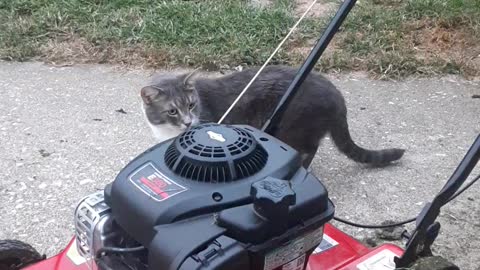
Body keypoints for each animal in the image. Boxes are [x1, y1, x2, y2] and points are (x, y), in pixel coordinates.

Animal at [141, 65, 404, 167]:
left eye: (192, 105)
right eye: (172, 111)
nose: (188, 122)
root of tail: (336, 95)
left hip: (291, 127)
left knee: (310, 147)